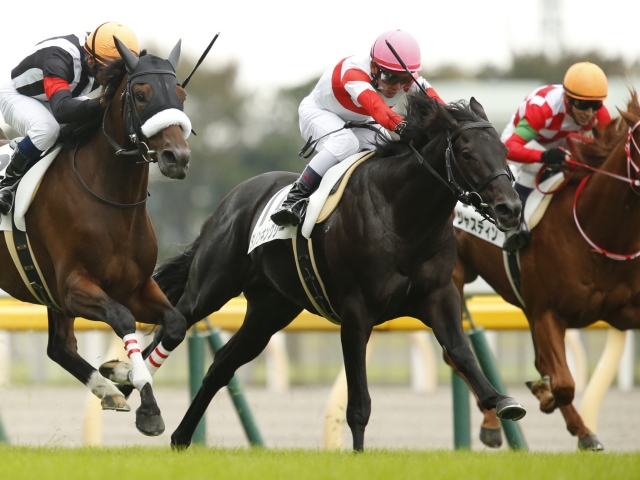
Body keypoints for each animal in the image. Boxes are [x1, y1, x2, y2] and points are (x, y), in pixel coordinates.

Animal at [0, 38, 191, 436]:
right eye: (140, 94)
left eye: (181, 94)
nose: (177, 157)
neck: (112, 203)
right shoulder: (74, 286)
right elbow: (122, 318)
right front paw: (145, 401)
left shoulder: (134, 286)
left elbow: (175, 323)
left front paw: (121, 376)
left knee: (59, 347)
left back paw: (108, 389)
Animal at [115, 94, 524, 450]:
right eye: (468, 153)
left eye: (505, 151)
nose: (510, 208)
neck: (402, 216)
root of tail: (230, 200)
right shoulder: (357, 312)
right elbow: (358, 403)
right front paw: (357, 454)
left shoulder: (439, 296)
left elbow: (461, 352)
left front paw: (501, 400)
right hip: (212, 287)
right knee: (174, 327)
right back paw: (127, 388)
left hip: (270, 310)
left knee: (221, 366)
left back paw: (180, 437)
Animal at [452, 93, 640, 450]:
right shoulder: (547, 313)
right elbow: (563, 382)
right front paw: (544, 393)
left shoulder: (623, 312)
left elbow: (556, 375)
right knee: (453, 353)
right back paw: (492, 423)